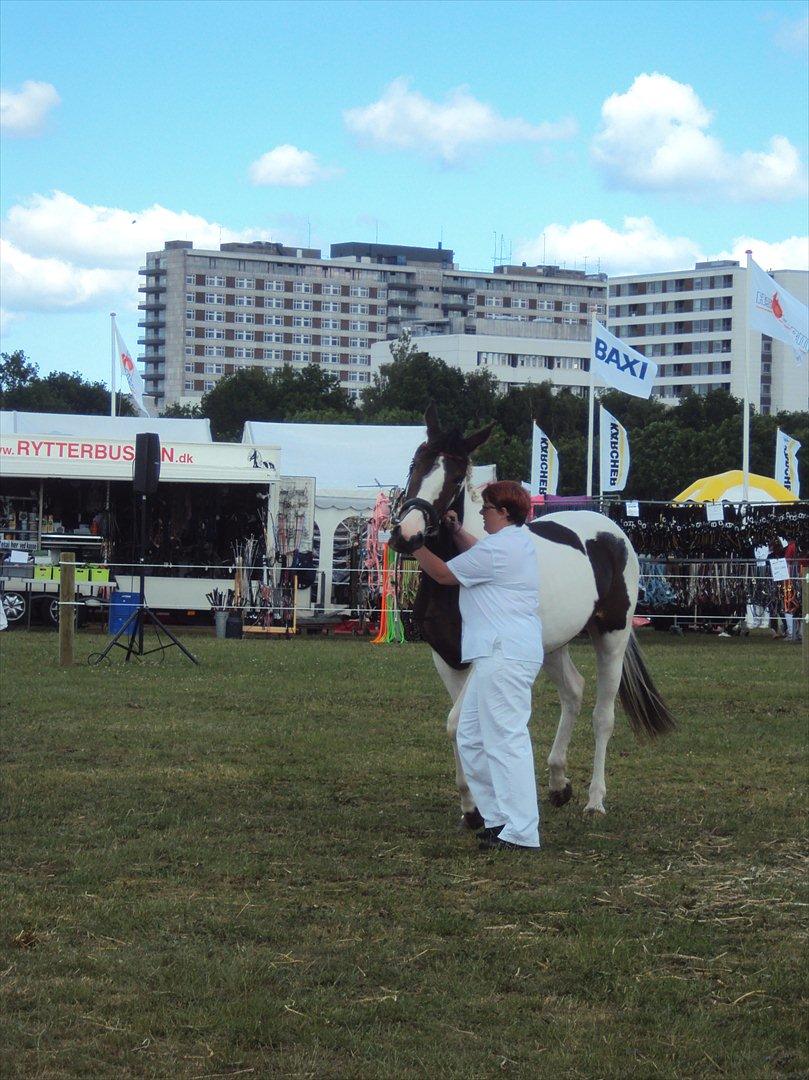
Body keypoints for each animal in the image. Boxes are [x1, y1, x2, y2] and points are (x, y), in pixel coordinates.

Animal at [388, 406, 673, 816]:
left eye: (456, 476)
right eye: (416, 462)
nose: (407, 534)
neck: (457, 575)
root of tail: (612, 531)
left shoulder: (482, 658)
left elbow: (459, 723)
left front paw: (480, 807)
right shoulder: (446, 658)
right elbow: (461, 726)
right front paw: (474, 807)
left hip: (612, 636)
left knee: (603, 716)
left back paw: (595, 801)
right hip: (552, 645)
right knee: (573, 691)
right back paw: (558, 782)